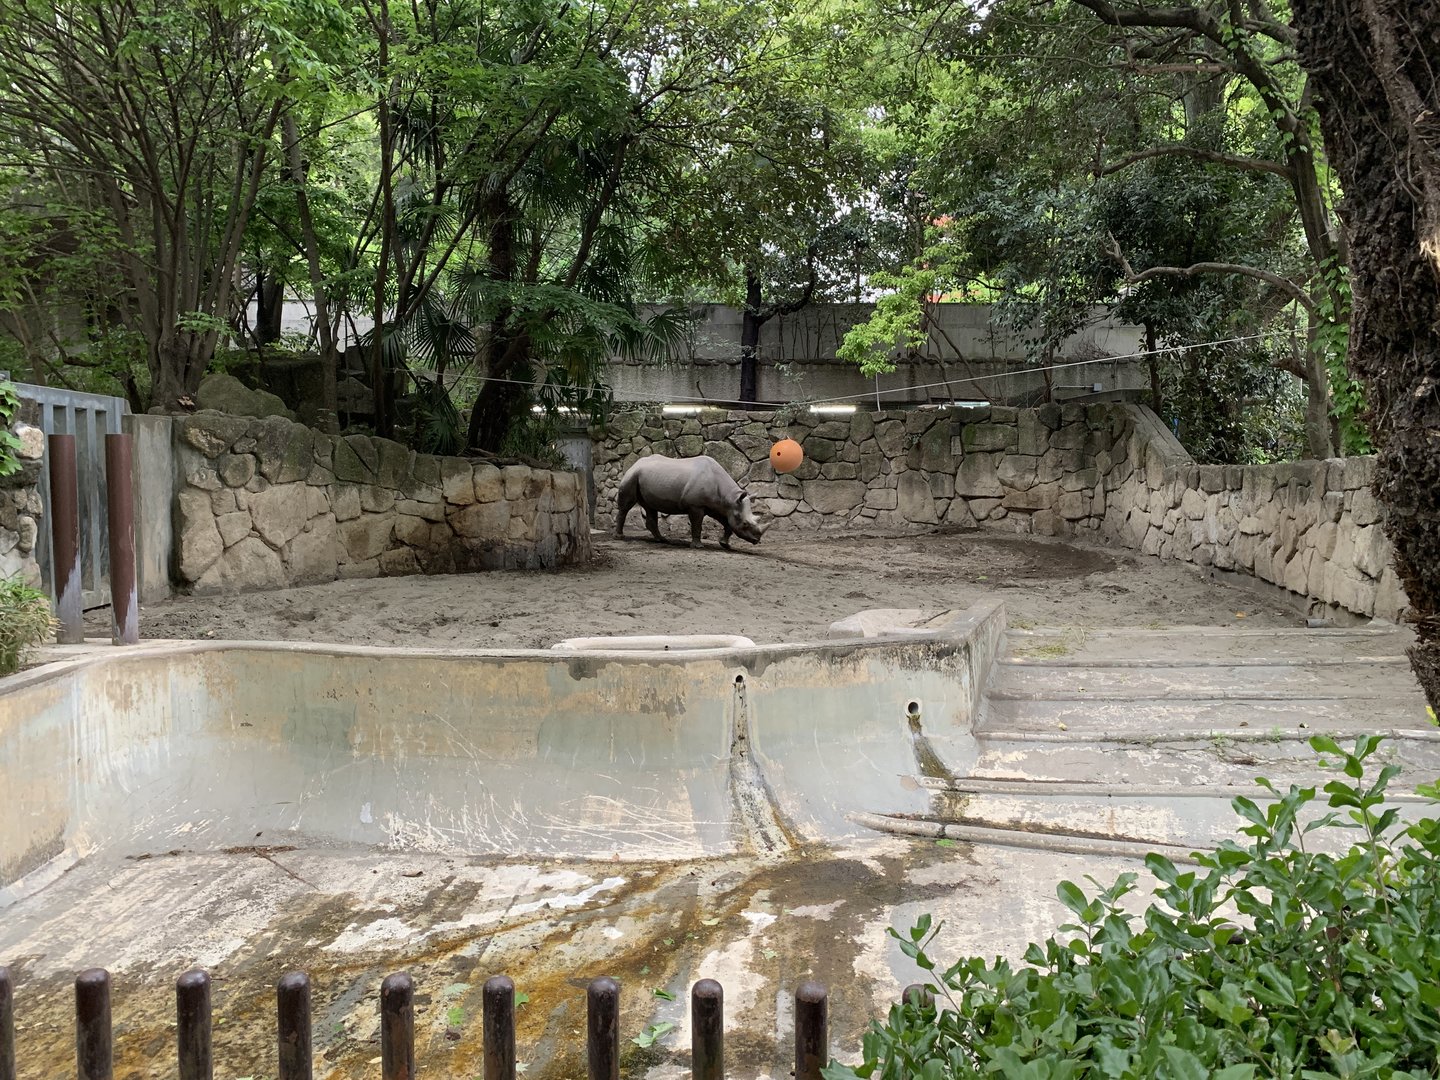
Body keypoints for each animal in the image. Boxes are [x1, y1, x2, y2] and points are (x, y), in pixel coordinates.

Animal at [615, 454, 768, 549]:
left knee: (650, 507)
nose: (757, 540)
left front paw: (725, 544)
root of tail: (636, 462)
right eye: (745, 523)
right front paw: (698, 546)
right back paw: (620, 537)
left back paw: (662, 540)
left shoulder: (718, 506)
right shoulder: (696, 505)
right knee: (626, 506)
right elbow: (697, 525)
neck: (730, 498)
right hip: (632, 475)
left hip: (645, 476)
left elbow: (728, 524)